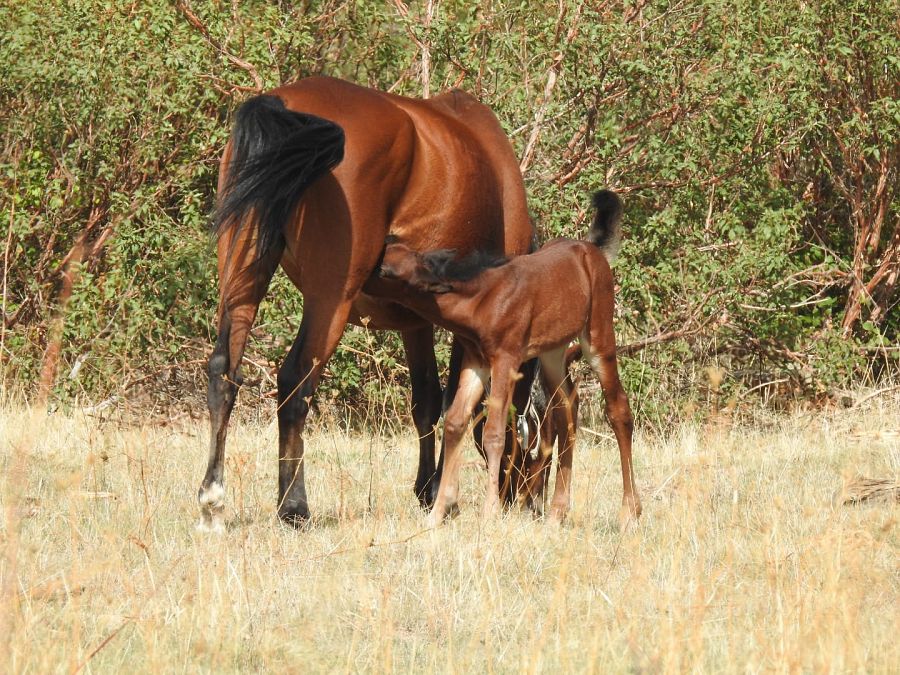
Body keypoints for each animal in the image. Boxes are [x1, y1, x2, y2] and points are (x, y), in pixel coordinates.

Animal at [199, 78, 536, 532]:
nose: (528, 499)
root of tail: (284, 103)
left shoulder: (417, 323)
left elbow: (426, 401)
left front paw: (427, 489)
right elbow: (456, 405)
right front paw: (442, 496)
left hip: (242, 276)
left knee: (224, 374)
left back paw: (212, 500)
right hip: (330, 300)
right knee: (295, 383)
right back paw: (294, 507)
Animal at [364, 191, 640, 528]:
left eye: (386, 271)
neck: (483, 299)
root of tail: (591, 250)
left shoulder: (506, 360)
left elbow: (494, 432)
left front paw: (489, 512)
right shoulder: (477, 361)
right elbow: (455, 422)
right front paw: (437, 514)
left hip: (598, 337)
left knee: (618, 409)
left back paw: (629, 511)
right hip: (552, 352)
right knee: (567, 407)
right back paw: (557, 512)